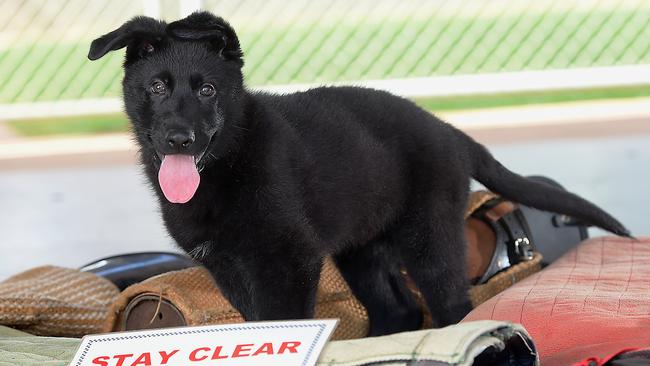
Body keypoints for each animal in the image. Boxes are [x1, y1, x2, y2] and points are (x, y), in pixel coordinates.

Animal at [87, 12, 628, 338]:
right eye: (158, 87)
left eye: (208, 91)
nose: (179, 139)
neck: (229, 163)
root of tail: (450, 131)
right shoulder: (227, 267)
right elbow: (256, 321)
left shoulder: (289, 261)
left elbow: (281, 320)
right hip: (361, 251)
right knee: (400, 310)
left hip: (429, 240)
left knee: (454, 308)